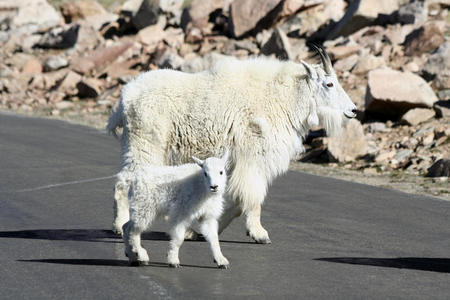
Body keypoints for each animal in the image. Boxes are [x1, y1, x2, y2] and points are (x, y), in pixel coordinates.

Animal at [108, 46, 356, 244]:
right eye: (329, 83)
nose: (353, 110)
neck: (283, 98)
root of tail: (124, 99)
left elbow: (238, 202)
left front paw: (197, 232)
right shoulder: (254, 157)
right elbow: (251, 198)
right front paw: (259, 234)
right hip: (144, 142)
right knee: (125, 180)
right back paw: (120, 225)